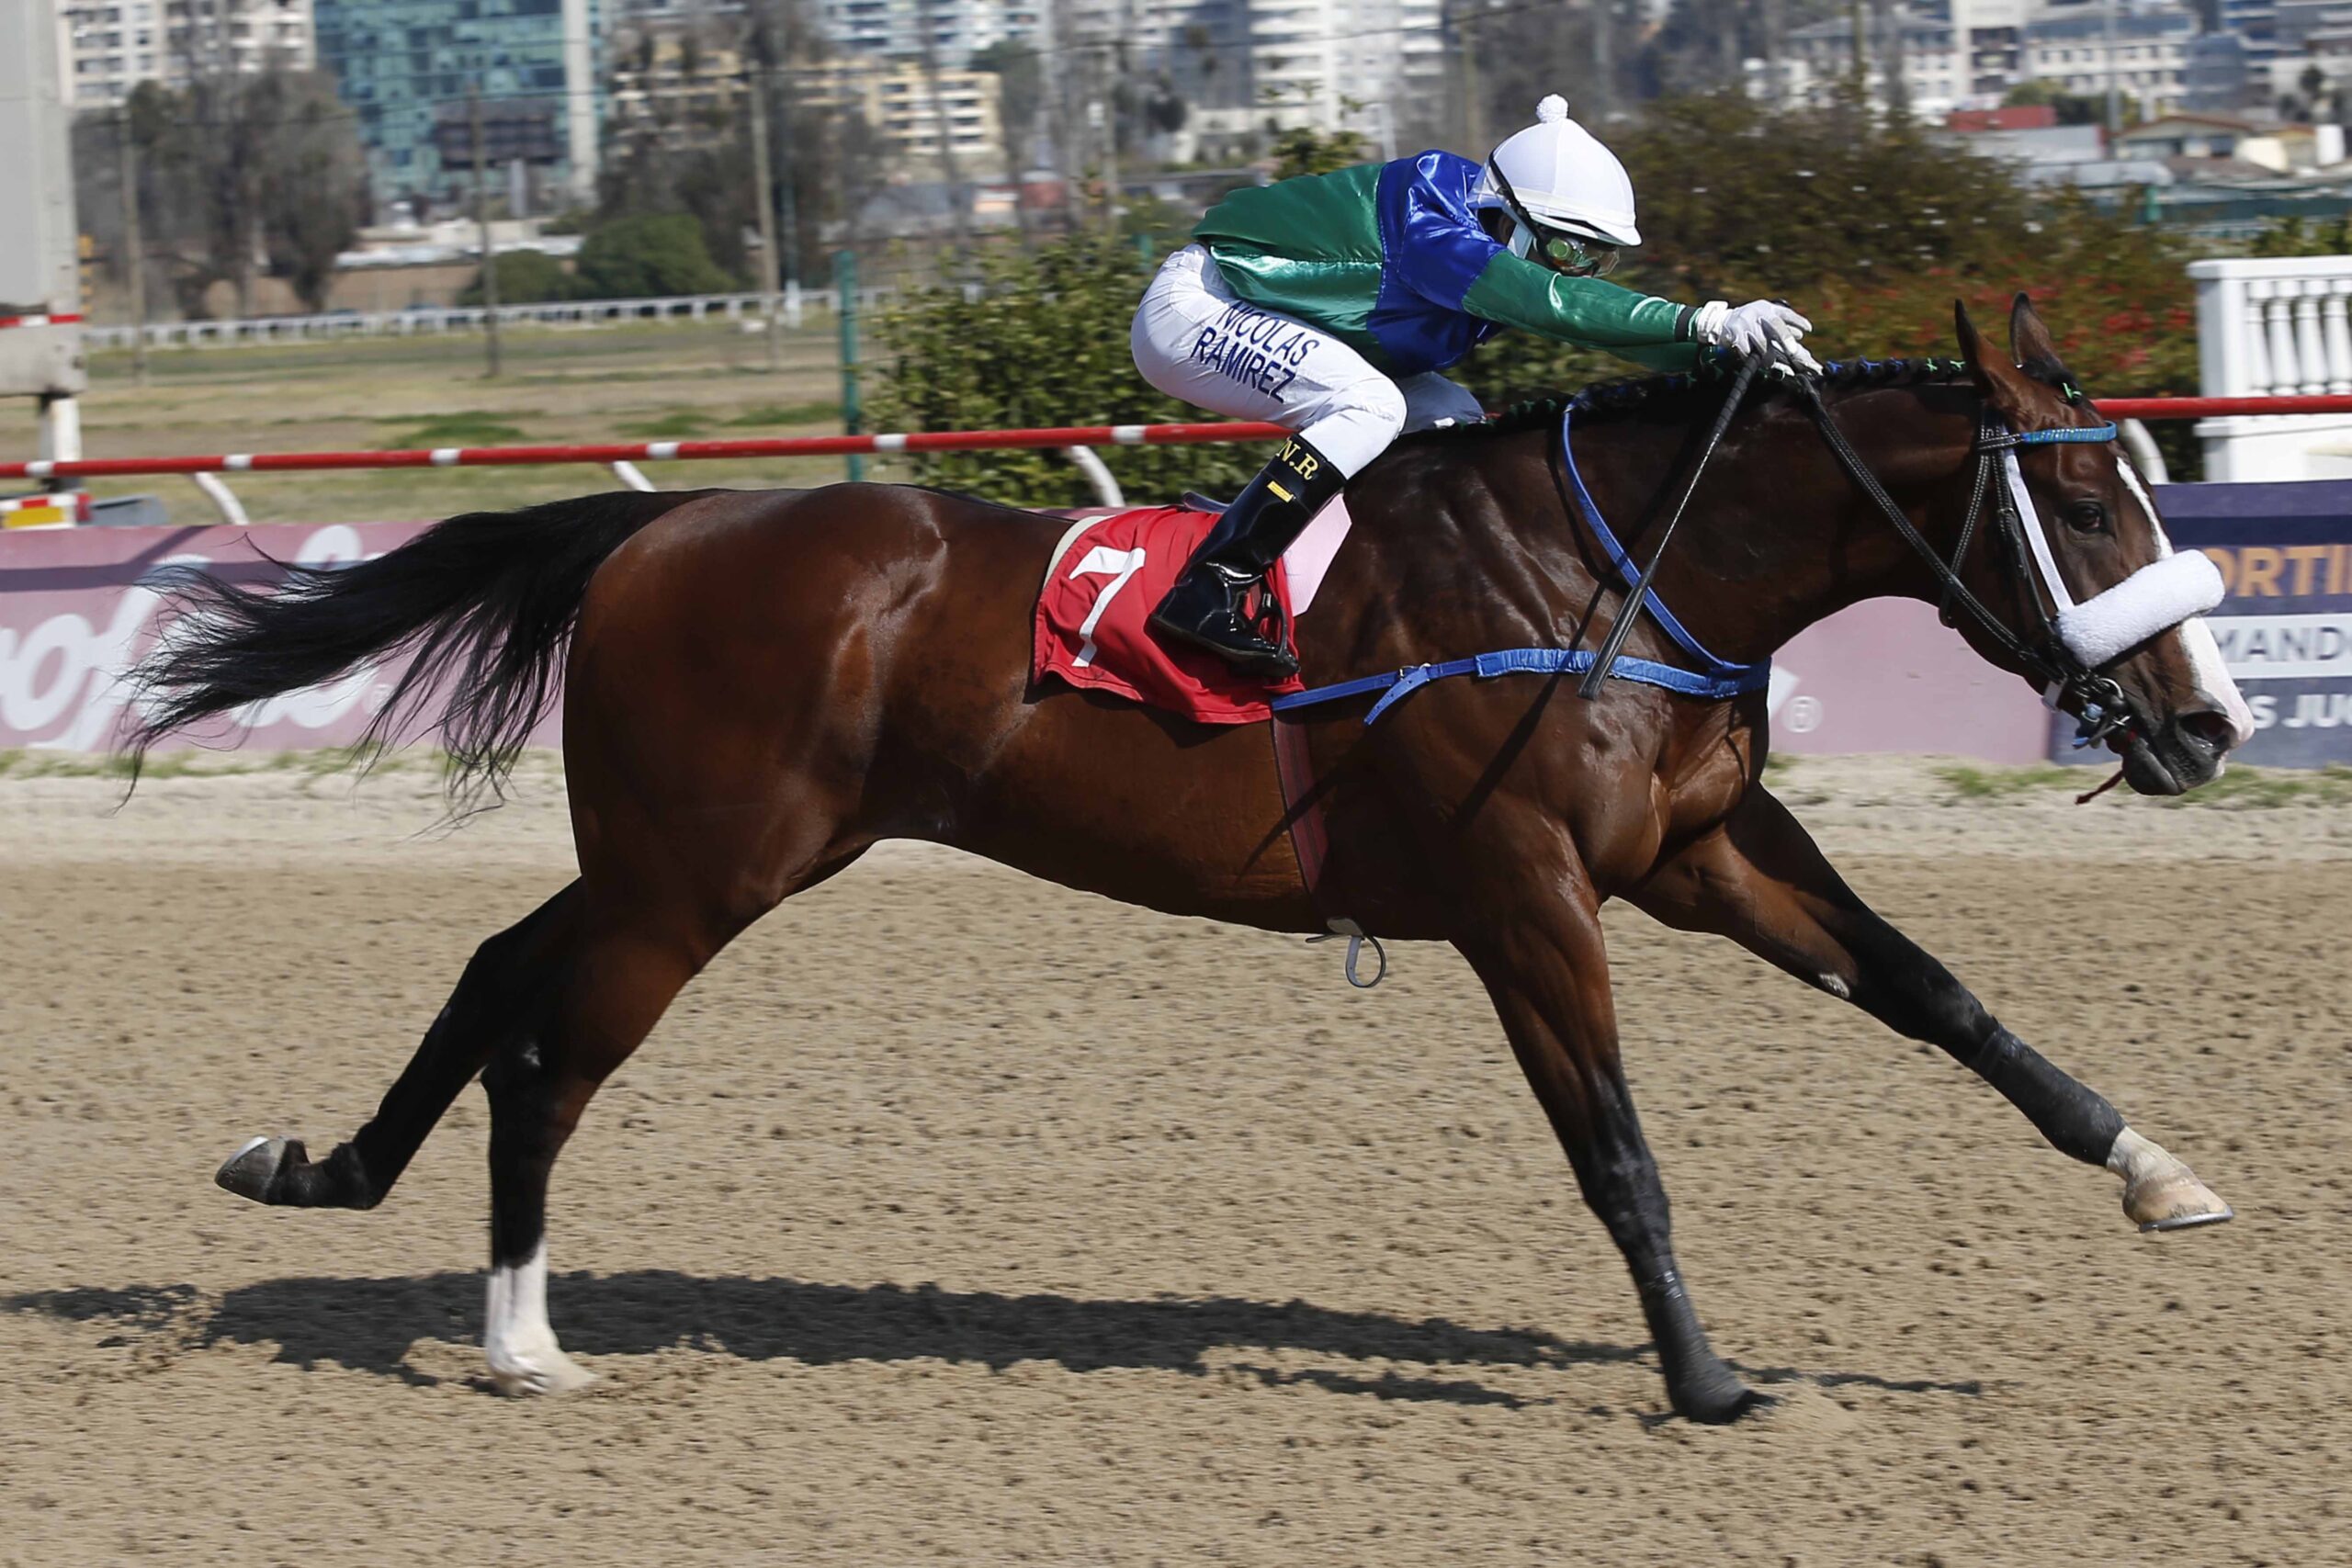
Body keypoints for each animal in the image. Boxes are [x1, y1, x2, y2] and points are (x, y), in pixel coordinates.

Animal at [123, 296, 2245, 1424]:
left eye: (2141, 480)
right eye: (2080, 496)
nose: (2210, 726)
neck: (1607, 572)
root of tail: (656, 529)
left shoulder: (1704, 844)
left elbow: (1936, 992)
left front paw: (2160, 1171)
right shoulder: (1524, 897)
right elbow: (1619, 1149)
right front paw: (1710, 1381)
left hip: (686, 853)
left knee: (496, 968)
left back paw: (317, 1167)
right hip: (699, 876)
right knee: (551, 1054)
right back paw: (520, 1342)